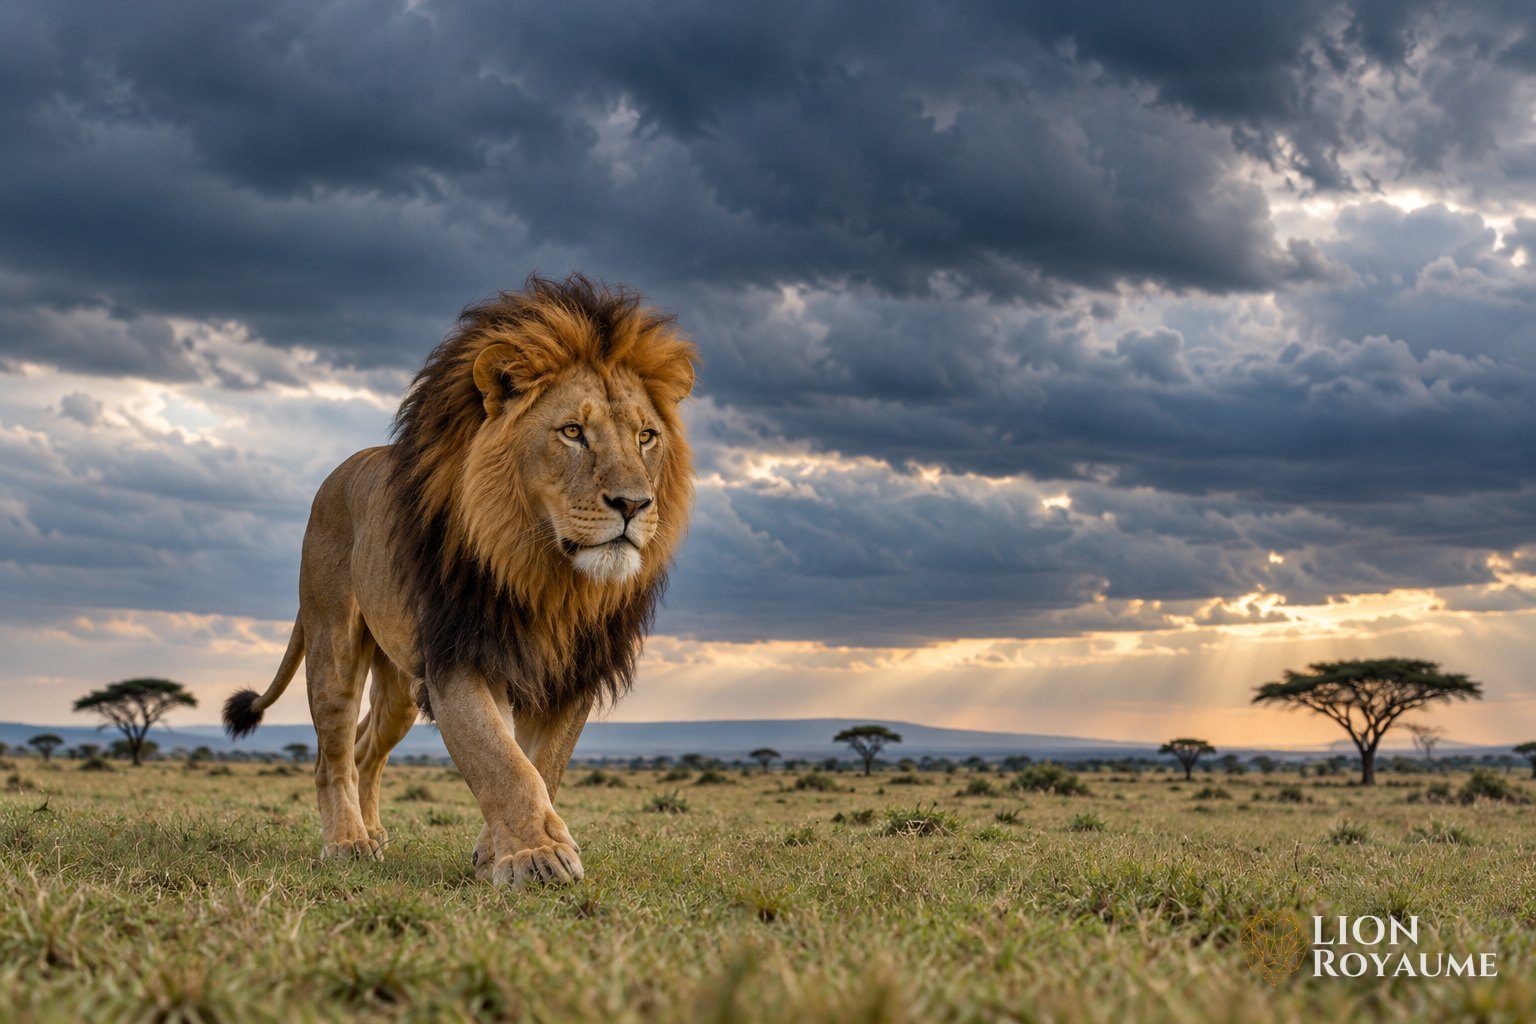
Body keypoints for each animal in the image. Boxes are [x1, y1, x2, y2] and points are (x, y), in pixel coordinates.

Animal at [221, 274, 696, 886]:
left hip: (399, 682)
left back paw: (375, 834)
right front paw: (538, 857)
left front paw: (498, 851)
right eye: (572, 432)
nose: (634, 504)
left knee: (366, 748)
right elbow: (501, 760)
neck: (550, 577)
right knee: (333, 755)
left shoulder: (572, 673)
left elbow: (542, 764)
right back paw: (348, 842)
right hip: (333, 643)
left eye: (646, 437)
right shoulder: (459, 654)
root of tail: (336, 475)